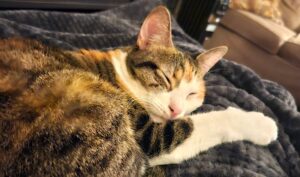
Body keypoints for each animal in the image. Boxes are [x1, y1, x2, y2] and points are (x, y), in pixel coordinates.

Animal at [0, 5, 278, 177]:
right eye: (165, 78)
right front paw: (260, 124)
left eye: (192, 94)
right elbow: (203, 124)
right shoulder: (149, 137)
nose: (175, 109)